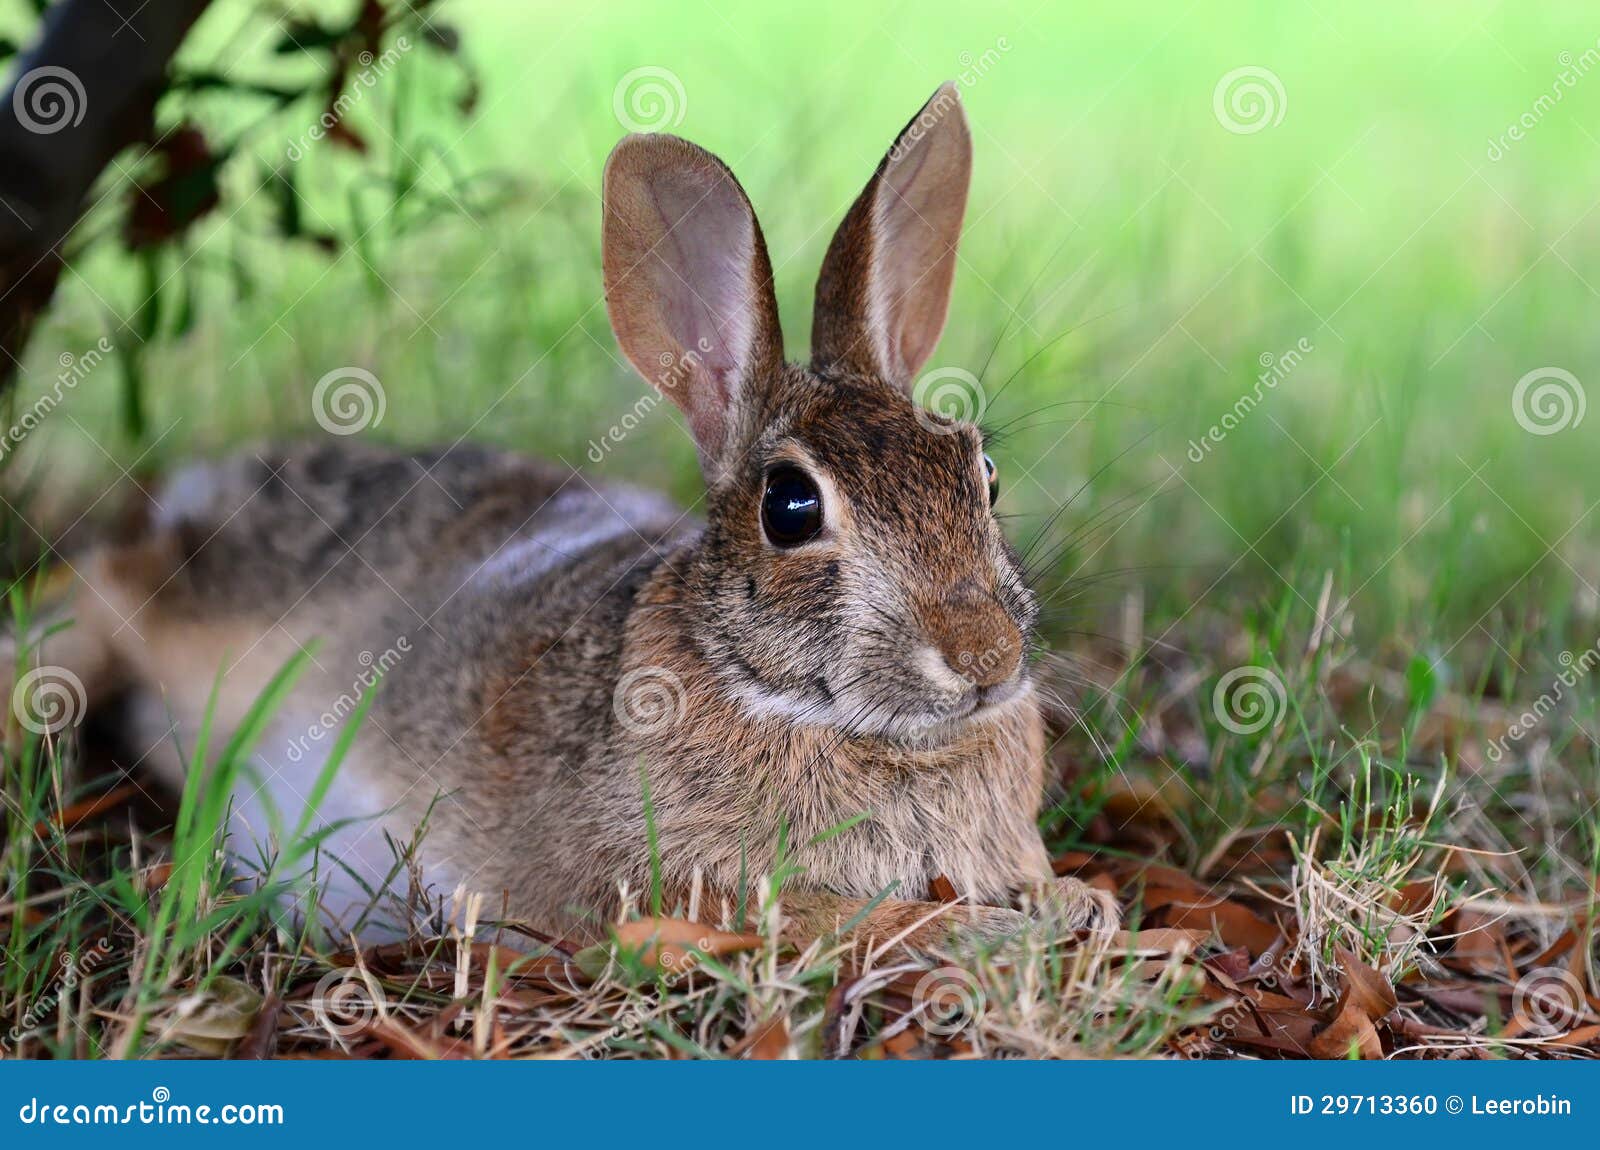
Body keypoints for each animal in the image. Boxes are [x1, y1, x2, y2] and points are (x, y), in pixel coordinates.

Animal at [11, 82, 1115, 951]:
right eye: (791, 507)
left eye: (983, 474)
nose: (982, 656)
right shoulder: (666, 887)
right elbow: (845, 917)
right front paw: (1000, 930)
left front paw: (1077, 905)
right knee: (109, 591)